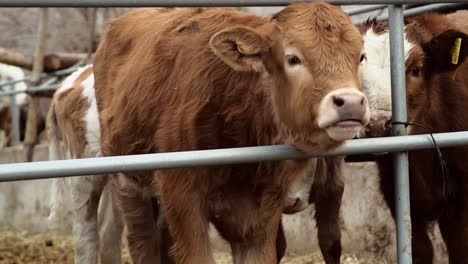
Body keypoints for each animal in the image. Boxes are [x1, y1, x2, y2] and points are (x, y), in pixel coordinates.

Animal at [92, 4, 370, 264]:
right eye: (292, 58)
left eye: (361, 57)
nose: (350, 102)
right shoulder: (182, 198)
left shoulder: (264, 211)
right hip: (127, 183)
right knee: (140, 242)